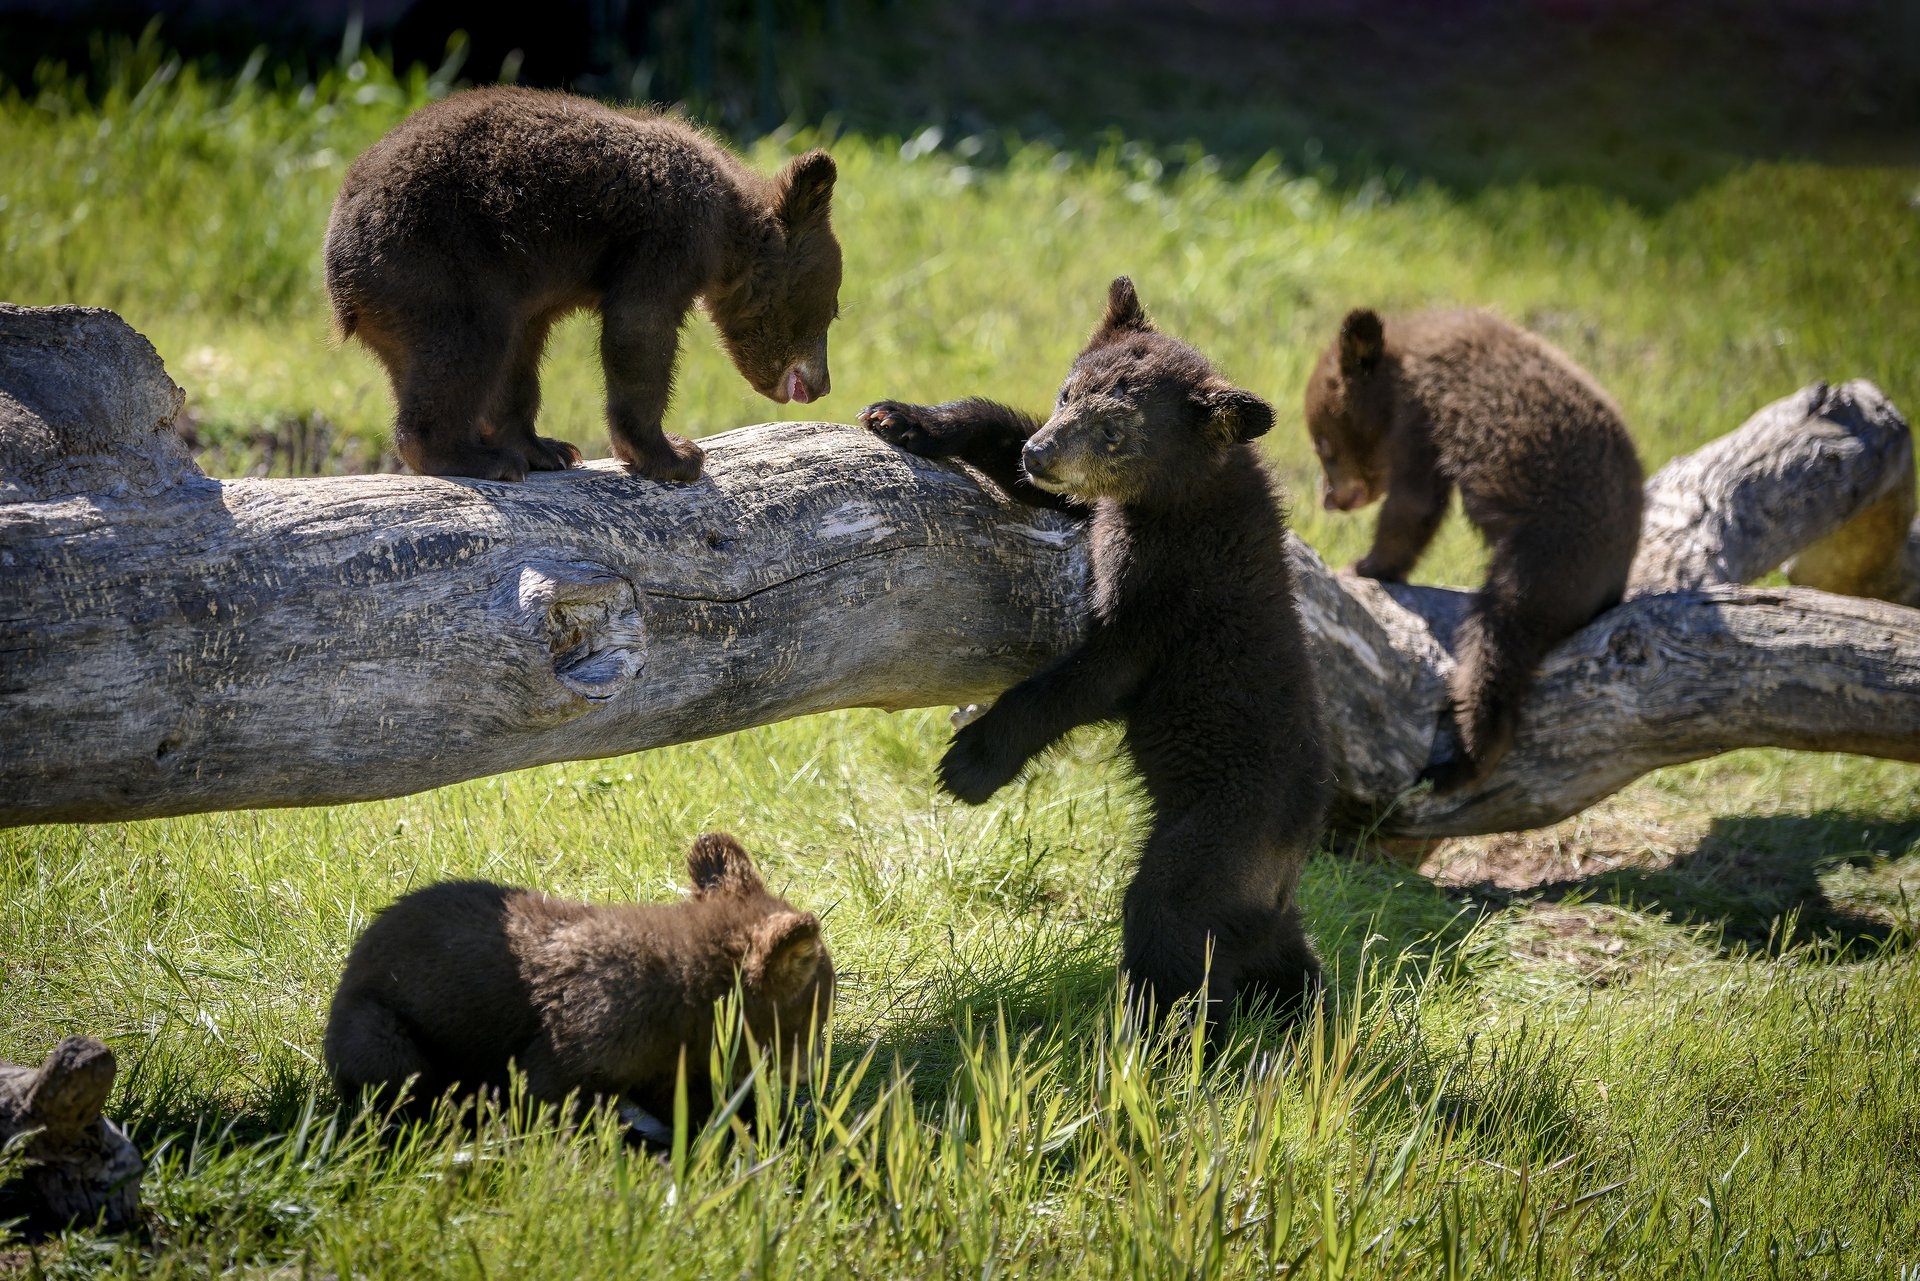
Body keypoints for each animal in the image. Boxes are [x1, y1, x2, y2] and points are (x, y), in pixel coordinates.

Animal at [322, 832, 834, 1130]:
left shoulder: (666, 1063)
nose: (812, 1074)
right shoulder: (583, 1035)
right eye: (815, 1015)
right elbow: (549, 1097)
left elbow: (695, 1107)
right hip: (380, 1031)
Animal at [323, 86, 841, 484]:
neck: (725, 234)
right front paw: (675, 453)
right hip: (438, 264)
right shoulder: (666, 239)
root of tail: (338, 267)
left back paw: (540, 450)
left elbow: (527, 358)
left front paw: (554, 446)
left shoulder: (537, 288)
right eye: (834, 308)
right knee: (467, 346)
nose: (823, 385)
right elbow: (639, 332)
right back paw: (480, 459)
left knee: (500, 353)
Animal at [860, 277, 1331, 1026]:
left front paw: (970, 762)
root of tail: (1291, 863)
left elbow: (1096, 675)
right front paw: (904, 418)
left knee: (1171, 921)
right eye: (1067, 392)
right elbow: (1019, 455)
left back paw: (1152, 1033)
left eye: (1115, 431)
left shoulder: (1170, 586)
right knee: (1280, 956)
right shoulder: (1103, 512)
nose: (1041, 454)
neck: (1186, 496)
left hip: (1224, 829)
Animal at [1303, 307, 1645, 790]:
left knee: (1496, 638)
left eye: (1323, 444)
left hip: (1552, 557)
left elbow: (1414, 505)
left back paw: (1463, 762)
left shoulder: (1422, 422)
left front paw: (1364, 565)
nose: (1331, 500)